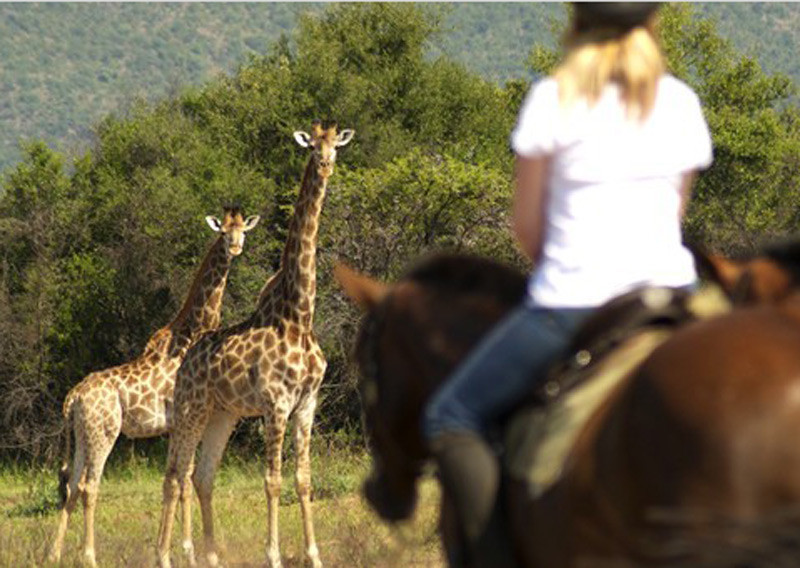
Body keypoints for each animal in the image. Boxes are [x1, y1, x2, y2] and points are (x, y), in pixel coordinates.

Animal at [48, 206, 260, 564]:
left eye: (243, 230)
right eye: (222, 232)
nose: (234, 247)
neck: (194, 331)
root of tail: (72, 398)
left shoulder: (176, 425)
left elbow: (179, 479)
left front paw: (181, 549)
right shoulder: (186, 420)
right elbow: (183, 479)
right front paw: (186, 550)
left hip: (81, 435)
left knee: (72, 484)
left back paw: (53, 554)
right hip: (104, 431)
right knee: (90, 485)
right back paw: (89, 556)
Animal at [155, 121, 354, 568]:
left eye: (336, 146)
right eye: (311, 146)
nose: (325, 164)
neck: (298, 315)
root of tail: (186, 360)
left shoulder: (307, 403)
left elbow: (303, 479)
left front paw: (314, 555)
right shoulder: (275, 404)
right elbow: (272, 481)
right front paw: (274, 555)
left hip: (222, 415)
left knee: (202, 475)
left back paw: (211, 557)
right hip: (192, 410)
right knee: (175, 475)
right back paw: (162, 555)